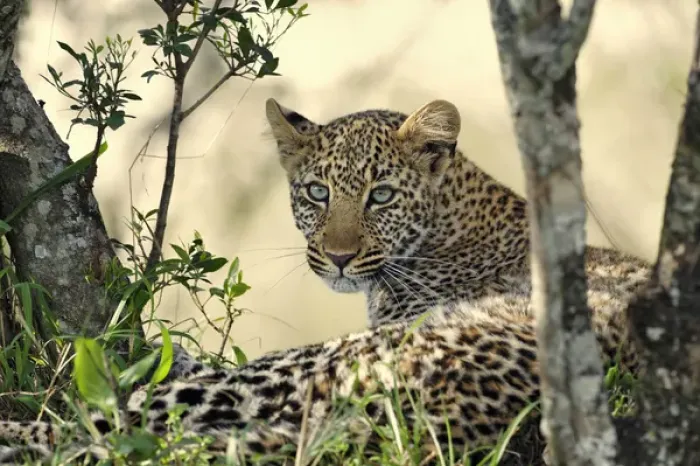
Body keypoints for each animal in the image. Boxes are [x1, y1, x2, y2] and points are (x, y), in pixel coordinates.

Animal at [0, 100, 650, 464]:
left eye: (380, 196)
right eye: (317, 192)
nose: (338, 258)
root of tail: (446, 419)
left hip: (311, 366)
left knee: (100, 424)